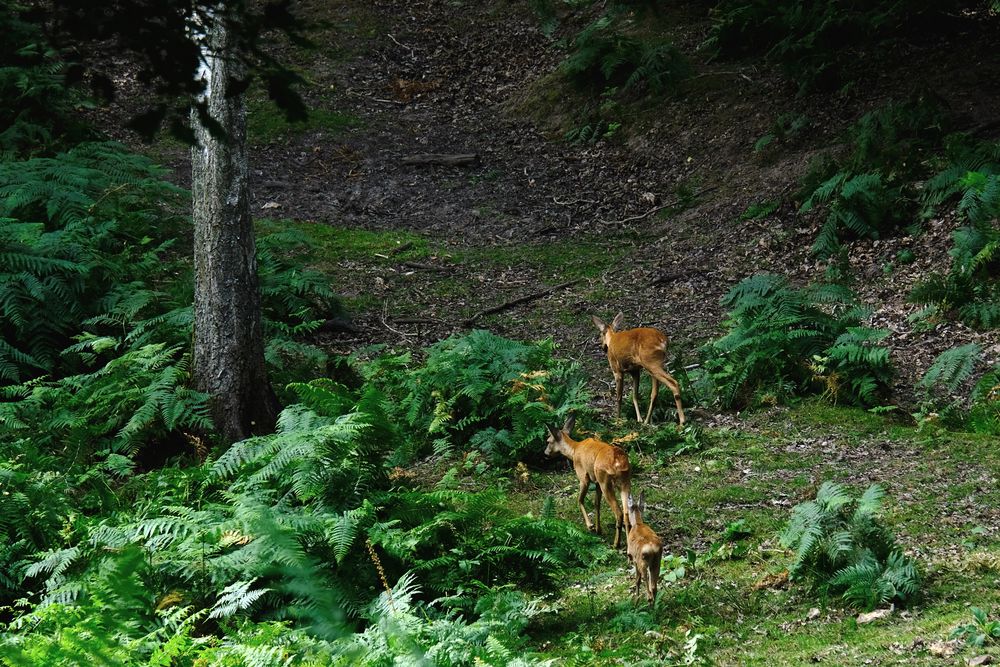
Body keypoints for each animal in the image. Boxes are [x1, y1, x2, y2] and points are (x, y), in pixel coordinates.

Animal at [544, 414, 628, 552]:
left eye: (548, 441)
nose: (545, 453)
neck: (574, 450)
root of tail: (619, 462)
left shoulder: (583, 476)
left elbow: (580, 500)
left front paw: (591, 526)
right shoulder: (597, 482)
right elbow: (596, 504)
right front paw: (599, 529)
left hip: (605, 481)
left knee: (619, 512)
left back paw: (616, 544)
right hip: (624, 482)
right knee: (627, 511)